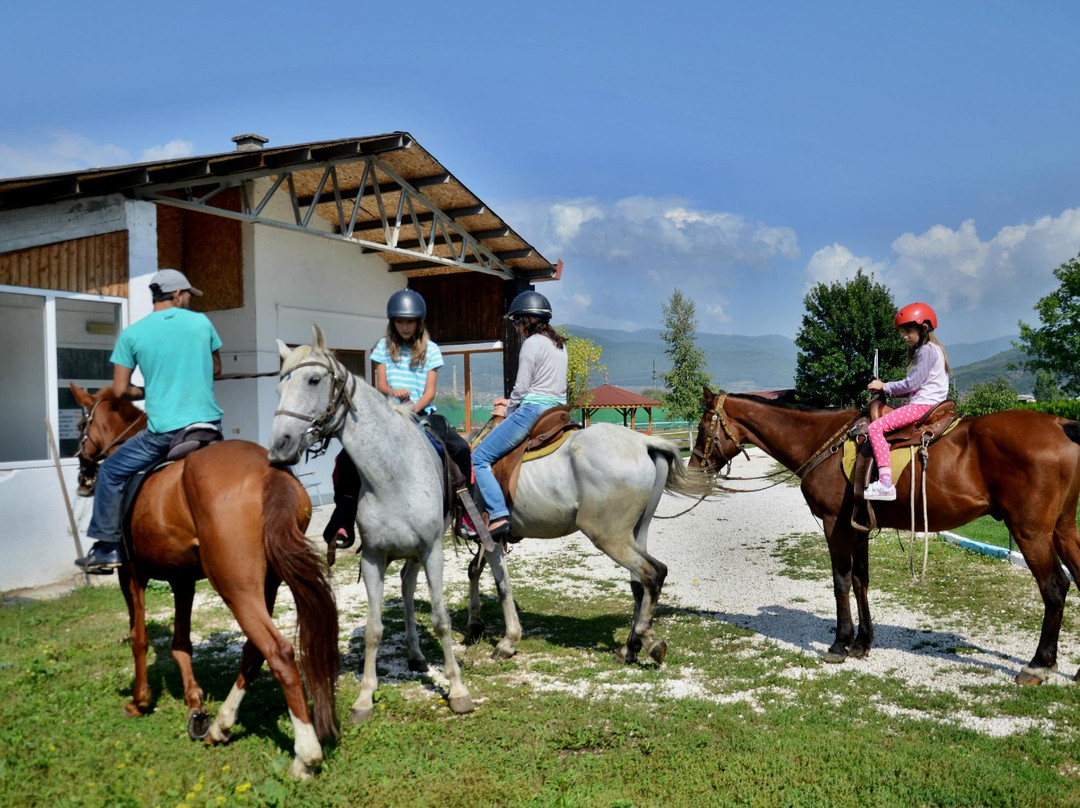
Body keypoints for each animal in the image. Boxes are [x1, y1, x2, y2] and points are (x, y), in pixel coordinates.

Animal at [69, 384, 339, 777]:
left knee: (279, 653)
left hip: (234, 586)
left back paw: (305, 755)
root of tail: (266, 470)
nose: (84, 478)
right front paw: (195, 705)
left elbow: (139, 637)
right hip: (265, 583)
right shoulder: (182, 579)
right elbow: (181, 642)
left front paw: (140, 700)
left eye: (80, 425)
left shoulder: (130, 574)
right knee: (254, 651)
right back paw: (219, 726)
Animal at [266, 324, 473, 721]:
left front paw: (457, 691)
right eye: (279, 389)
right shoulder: (374, 557)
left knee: (412, 587)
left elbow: (441, 619)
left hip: (423, 551)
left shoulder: (432, 550)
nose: (279, 448)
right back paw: (414, 654)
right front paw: (364, 698)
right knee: (406, 587)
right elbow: (375, 628)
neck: (394, 473)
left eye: (314, 380)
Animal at [695, 388, 1080, 687]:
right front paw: (862, 643)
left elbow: (841, 581)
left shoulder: (835, 526)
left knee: (1055, 587)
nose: (697, 465)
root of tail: (1060, 425)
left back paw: (1038, 665)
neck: (822, 441)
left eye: (700, 426)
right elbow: (861, 580)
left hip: (1031, 532)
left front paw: (840, 644)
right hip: (1064, 528)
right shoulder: (858, 528)